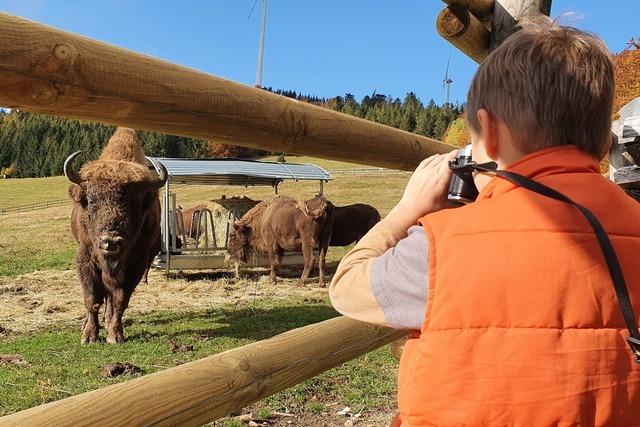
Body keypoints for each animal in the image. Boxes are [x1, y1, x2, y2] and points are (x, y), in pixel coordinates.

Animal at [63, 128, 165, 344]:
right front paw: (88, 336)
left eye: (135, 203)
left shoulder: (136, 264)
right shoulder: (85, 260)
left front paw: (114, 334)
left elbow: (120, 300)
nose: (110, 241)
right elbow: (92, 299)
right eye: (91, 200)